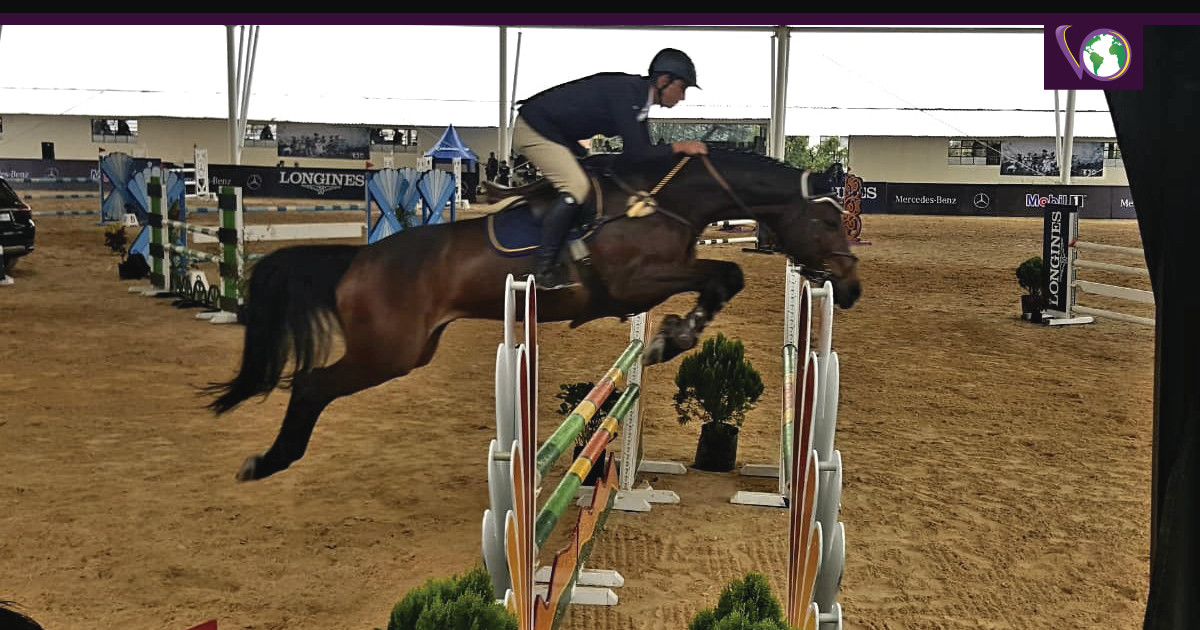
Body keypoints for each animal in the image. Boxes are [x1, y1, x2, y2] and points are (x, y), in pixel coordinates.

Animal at [208, 148, 864, 482]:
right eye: (827, 220)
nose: (851, 287)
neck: (664, 201)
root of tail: (358, 260)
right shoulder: (631, 285)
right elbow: (724, 274)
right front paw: (671, 337)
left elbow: (724, 277)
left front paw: (673, 336)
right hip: (387, 352)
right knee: (311, 386)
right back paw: (268, 462)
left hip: (404, 350)